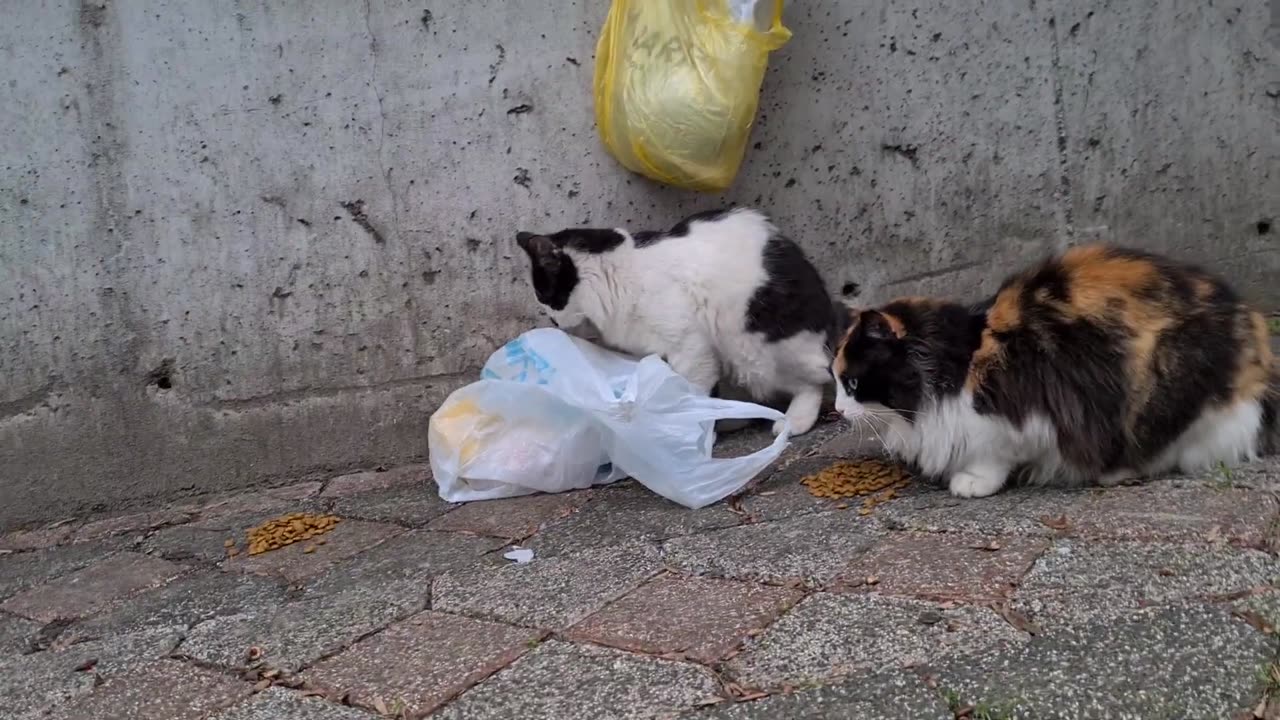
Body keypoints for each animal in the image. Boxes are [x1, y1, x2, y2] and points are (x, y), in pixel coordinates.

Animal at [519, 204, 839, 435]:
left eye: (543, 294)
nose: (553, 322)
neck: (621, 274)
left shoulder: (691, 349)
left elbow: (692, 394)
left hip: (756, 350)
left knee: (815, 381)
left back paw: (794, 420)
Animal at [834, 243, 1274, 497]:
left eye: (852, 382)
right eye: (837, 383)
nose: (837, 410)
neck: (956, 364)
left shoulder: (1015, 417)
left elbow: (993, 456)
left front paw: (972, 482)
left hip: (1165, 389)